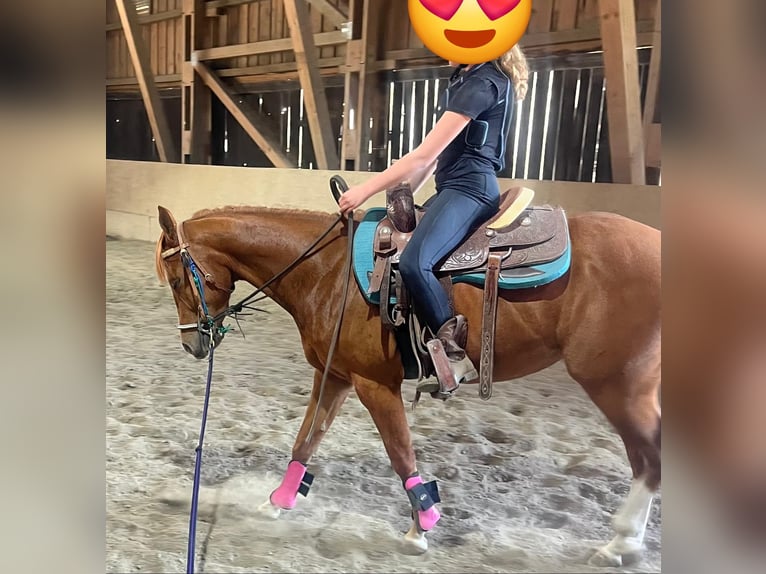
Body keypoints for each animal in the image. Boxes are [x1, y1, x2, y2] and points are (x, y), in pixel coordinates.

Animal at [154, 194, 661, 567]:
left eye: (178, 279)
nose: (191, 344)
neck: (326, 272)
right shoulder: (333, 375)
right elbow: (305, 441)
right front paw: (276, 502)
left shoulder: (373, 384)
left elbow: (401, 455)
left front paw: (422, 526)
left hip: (617, 384)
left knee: (649, 459)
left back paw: (620, 543)